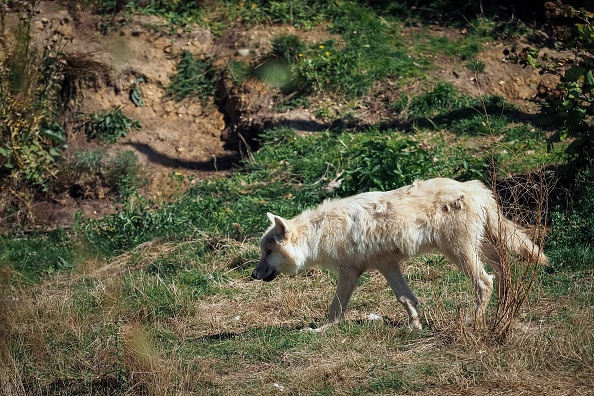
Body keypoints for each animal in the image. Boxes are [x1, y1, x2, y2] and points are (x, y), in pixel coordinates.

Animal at [250, 176, 544, 328]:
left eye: (268, 252)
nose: (253, 275)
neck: (321, 232)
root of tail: (476, 188)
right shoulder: (387, 264)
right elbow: (406, 298)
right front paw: (415, 325)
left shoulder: (350, 272)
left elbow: (336, 307)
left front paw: (321, 329)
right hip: (483, 249)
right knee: (504, 273)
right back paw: (504, 312)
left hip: (459, 253)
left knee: (484, 283)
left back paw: (474, 321)